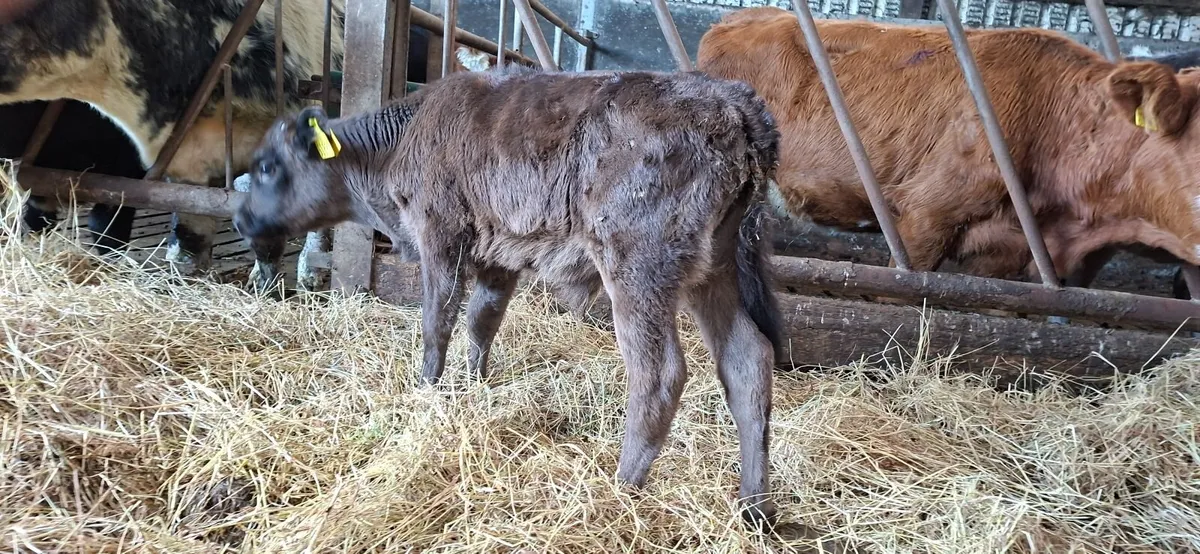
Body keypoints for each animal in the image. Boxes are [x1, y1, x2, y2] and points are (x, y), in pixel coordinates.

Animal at [231, 66, 785, 527]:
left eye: (267, 167)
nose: (239, 219)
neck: (399, 140)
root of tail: (734, 101)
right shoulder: (498, 262)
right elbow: (482, 323)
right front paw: (472, 390)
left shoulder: (441, 238)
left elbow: (437, 324)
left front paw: (426, 392)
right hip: (712, 275)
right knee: (747, 359)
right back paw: (755, 509)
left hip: (638, 272)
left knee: (659, 373)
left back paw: (621, 489)